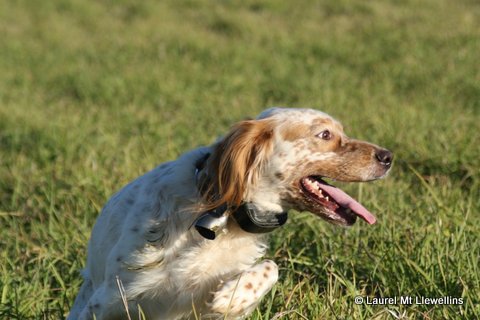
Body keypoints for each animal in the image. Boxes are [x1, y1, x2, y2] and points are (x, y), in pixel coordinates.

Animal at [68, 108, 394, 320]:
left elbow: (271, 267)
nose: (388, 156)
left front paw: (233, 295)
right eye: (325, 134)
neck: (223, 218)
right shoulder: (108, 300)